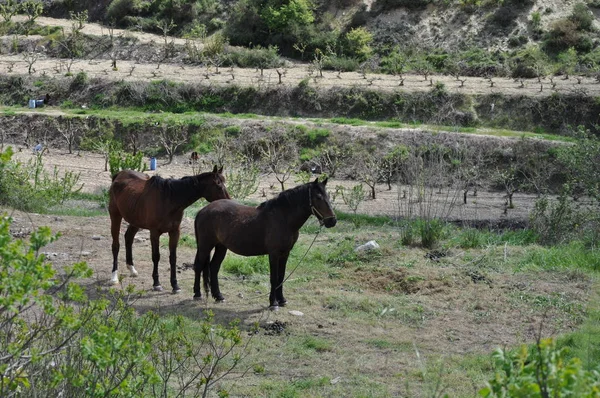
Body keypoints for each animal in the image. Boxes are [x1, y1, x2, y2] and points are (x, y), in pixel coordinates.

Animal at [193, 179, 338, 310]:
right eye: (318, 197)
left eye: (328, 196)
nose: (332, 221)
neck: (284, 218)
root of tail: (202, 211)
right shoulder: (274, 254)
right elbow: (274, 278)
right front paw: (273, 303)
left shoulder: (285, 253)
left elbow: (281, 277)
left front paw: (282, 300)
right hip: (205, 246)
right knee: (199, 266)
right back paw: (197, 294)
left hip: (221, 246)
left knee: (214, 267)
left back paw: (218, 296)